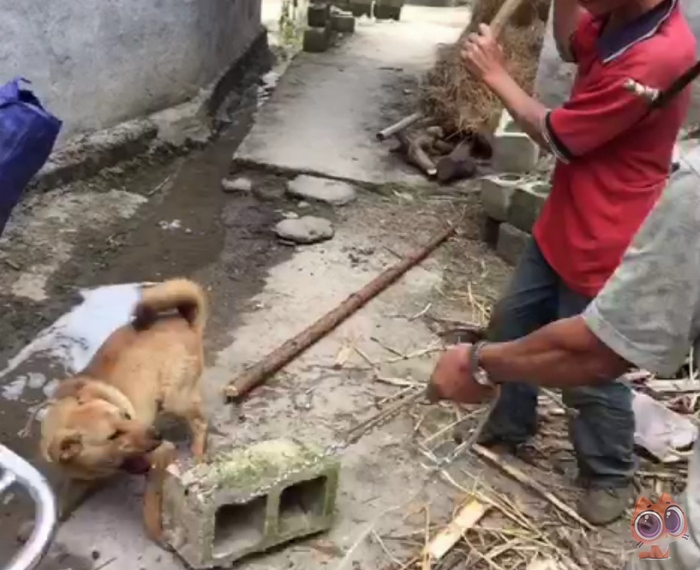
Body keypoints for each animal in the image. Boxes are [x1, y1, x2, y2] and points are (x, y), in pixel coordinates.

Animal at [39, 278, 208, 540]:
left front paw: (159, 535)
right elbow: (61, 505)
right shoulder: (80, 479)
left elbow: (150, 508)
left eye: (126, 415)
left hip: (176, 399)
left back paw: (198, 453)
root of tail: (184, 321)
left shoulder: (160, 456)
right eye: (113, 435)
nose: (157, 435)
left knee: (201, 423)